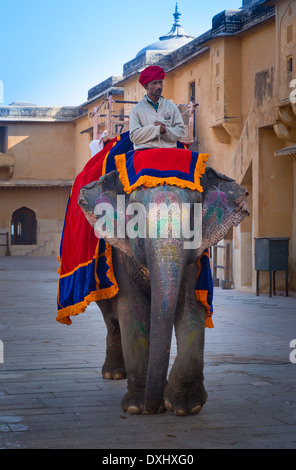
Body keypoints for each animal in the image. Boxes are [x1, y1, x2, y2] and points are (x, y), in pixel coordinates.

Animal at [77, 147, 250, 414]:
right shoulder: (120, 253)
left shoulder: (194, 262)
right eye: (134, 213)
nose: (153, 407)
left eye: (194, 209)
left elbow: (190, 307)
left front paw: (184, 407)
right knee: (113, 319)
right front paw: (138, 407)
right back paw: (114, 374)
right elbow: (133, 310)